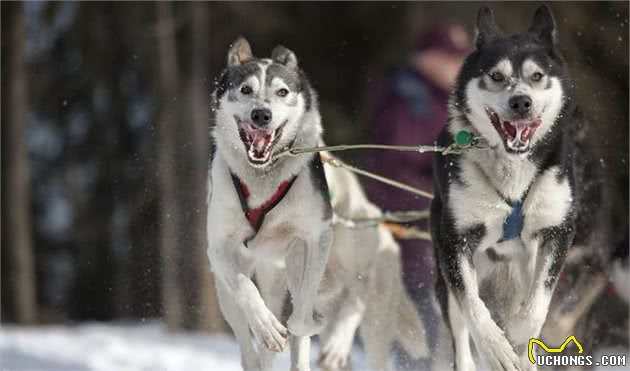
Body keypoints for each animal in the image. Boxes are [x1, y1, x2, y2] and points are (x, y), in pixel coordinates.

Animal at [209, 37, 336, 371]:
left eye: (282, 92)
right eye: (245, 90)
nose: (261, 115)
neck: (263, 177)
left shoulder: (318, 236)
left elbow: (303, 311)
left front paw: (306, 323)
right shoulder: (219, 248)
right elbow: (245, 288)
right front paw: (266, 327)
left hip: (289, 262)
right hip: (225, 291)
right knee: (247, 340)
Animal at [432, 5, 604, 371]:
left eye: (537, 76)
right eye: (496, 76)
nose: (521, 102)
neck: (512, 177)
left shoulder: (558, 232)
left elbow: (538, 305)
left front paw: (518, 338)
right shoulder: (453, 240)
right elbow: (473, 308)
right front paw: (497, 348)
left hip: (529, 261)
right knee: (460, 332)